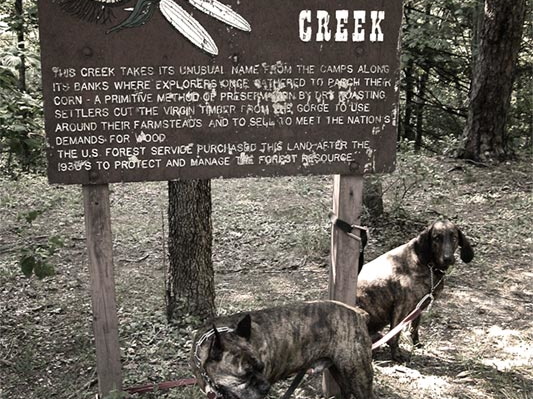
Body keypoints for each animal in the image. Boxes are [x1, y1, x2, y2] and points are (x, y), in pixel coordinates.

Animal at [190, 302, 374, 398]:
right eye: (244, 375)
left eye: (261, 367)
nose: (266, 387)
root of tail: (357, 312)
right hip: (339, 369)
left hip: (358, 375)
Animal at [358, 219, 474, 362]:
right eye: (436, 238)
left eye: (454, 237)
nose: (447, 258)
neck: (428, 264)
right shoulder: (402, 308)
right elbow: (394, 336)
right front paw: (396, 355)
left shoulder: (419, 307)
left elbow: (414, 328)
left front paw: (417, 345)